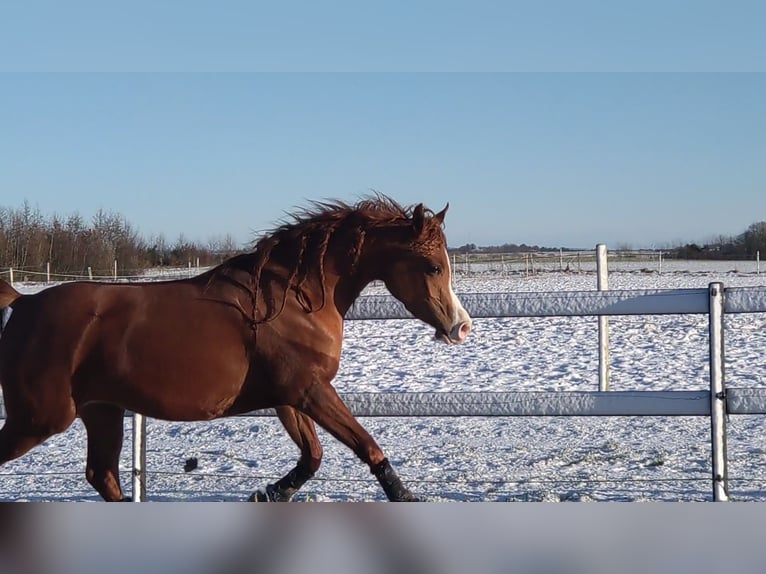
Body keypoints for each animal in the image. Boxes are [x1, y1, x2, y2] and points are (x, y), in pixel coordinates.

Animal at [0, 198, 472, 504]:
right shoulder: (310, 391)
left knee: (103, 477)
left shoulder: (291, 397)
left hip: (102, 411)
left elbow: (313, 456)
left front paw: (270, 492)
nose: (461, 326)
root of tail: (23, 302)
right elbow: (366, 446)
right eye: (434, 266)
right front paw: (406, 496)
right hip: (40, 419)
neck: (291, 300)